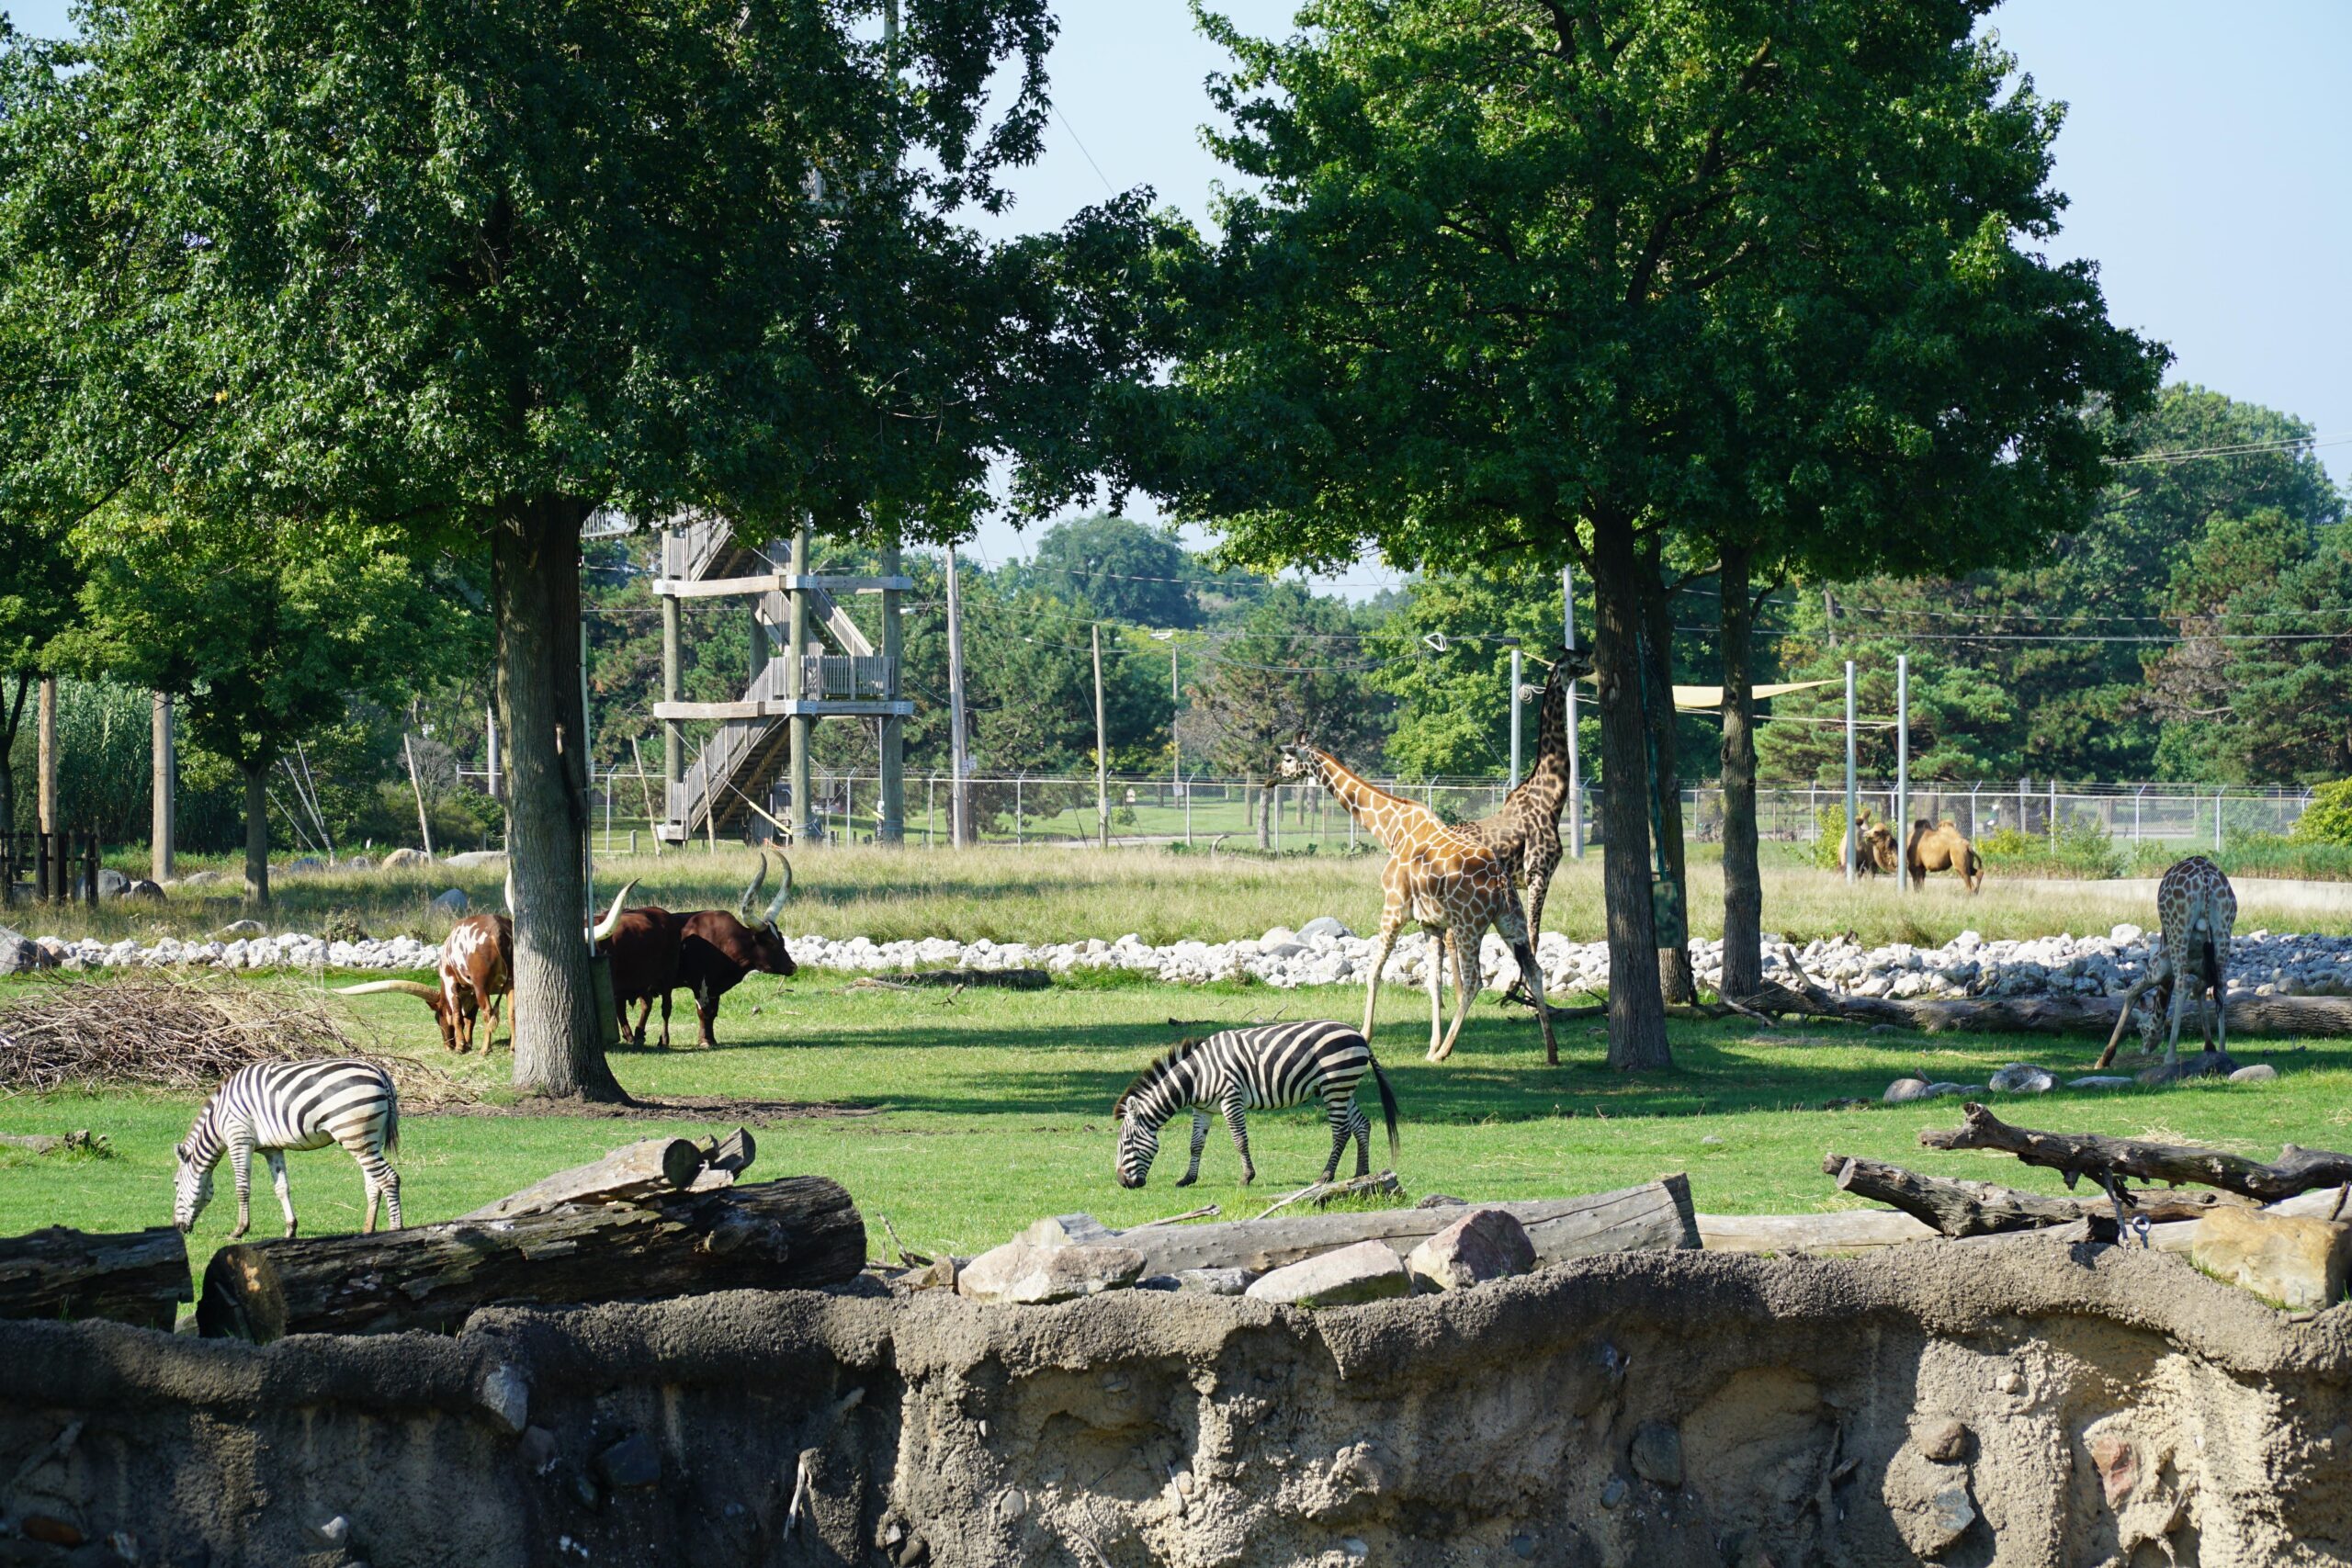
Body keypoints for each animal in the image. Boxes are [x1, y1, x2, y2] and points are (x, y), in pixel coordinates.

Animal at [171, 1062, 404, 1241]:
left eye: (175, 1184)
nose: (177, 1228)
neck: (217, 1121)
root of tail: (381, 1074)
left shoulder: (239, 1138)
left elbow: (242, 1188)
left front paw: (239, 1230)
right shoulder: (272, 1149)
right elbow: (282, 1188)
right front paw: (291, 1229)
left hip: (354, 1134)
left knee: (389, 1179)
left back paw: (396, 1230)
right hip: (369, 1139)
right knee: (374, 1184)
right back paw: (367, 1231)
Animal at [1105, 1020, 1392, 1189]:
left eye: (1126, 1143)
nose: (1122, 1182)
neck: (1196, 1077)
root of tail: (1358, 1034)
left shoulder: (1230, 1098)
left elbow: (1239, 1139)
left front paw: (1246, 1177)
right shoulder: (1203, 1109)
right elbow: (1196, 1144)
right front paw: (1188, 1178)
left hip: (1335, 1085)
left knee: (1341, 1131)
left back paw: (1325, 1176)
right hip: (1342, 1087)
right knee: (1362, 1125)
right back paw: (1361, 1173)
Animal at [1270, 738, 1561, 1062]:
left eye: (1287, 758)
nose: (1271, 777)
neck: (1392, 830)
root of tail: (1500, 879)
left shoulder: (1393, 908)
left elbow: (1374, 972)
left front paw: (1367, 1033)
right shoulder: (1431, 923)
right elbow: (1433, 982)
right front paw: (1431, 1043)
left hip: (1469, 925)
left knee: (1475, 981)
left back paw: (1444, 1052)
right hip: (1511, 919)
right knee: (1535, 970)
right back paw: (1551, 1052)